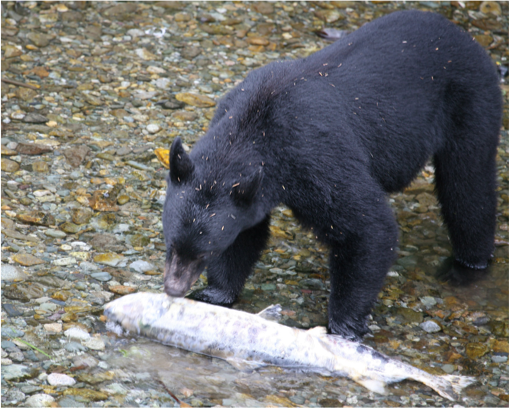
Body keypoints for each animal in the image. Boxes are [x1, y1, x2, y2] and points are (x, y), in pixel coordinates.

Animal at [163, 9, 500, 342]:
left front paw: (344, 325)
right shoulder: (247, 185)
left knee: (468, 187)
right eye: (171, 244)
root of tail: (461, 34)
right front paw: (216, 293)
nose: (173, 288)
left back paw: (469, 264)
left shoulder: (316, 158)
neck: (256, 126)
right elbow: (246, 233)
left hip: (471, 99)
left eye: (203, 253)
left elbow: (369, 227)